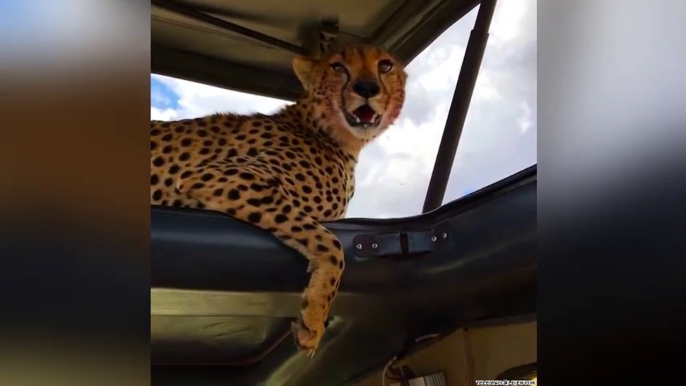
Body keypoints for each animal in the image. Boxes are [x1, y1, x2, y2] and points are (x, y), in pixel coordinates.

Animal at [150, 44, 408, 356]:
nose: (367, 87)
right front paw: (316, 316)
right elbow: (331, 242)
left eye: (385, 66)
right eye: (337, 67)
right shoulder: (214, 175)